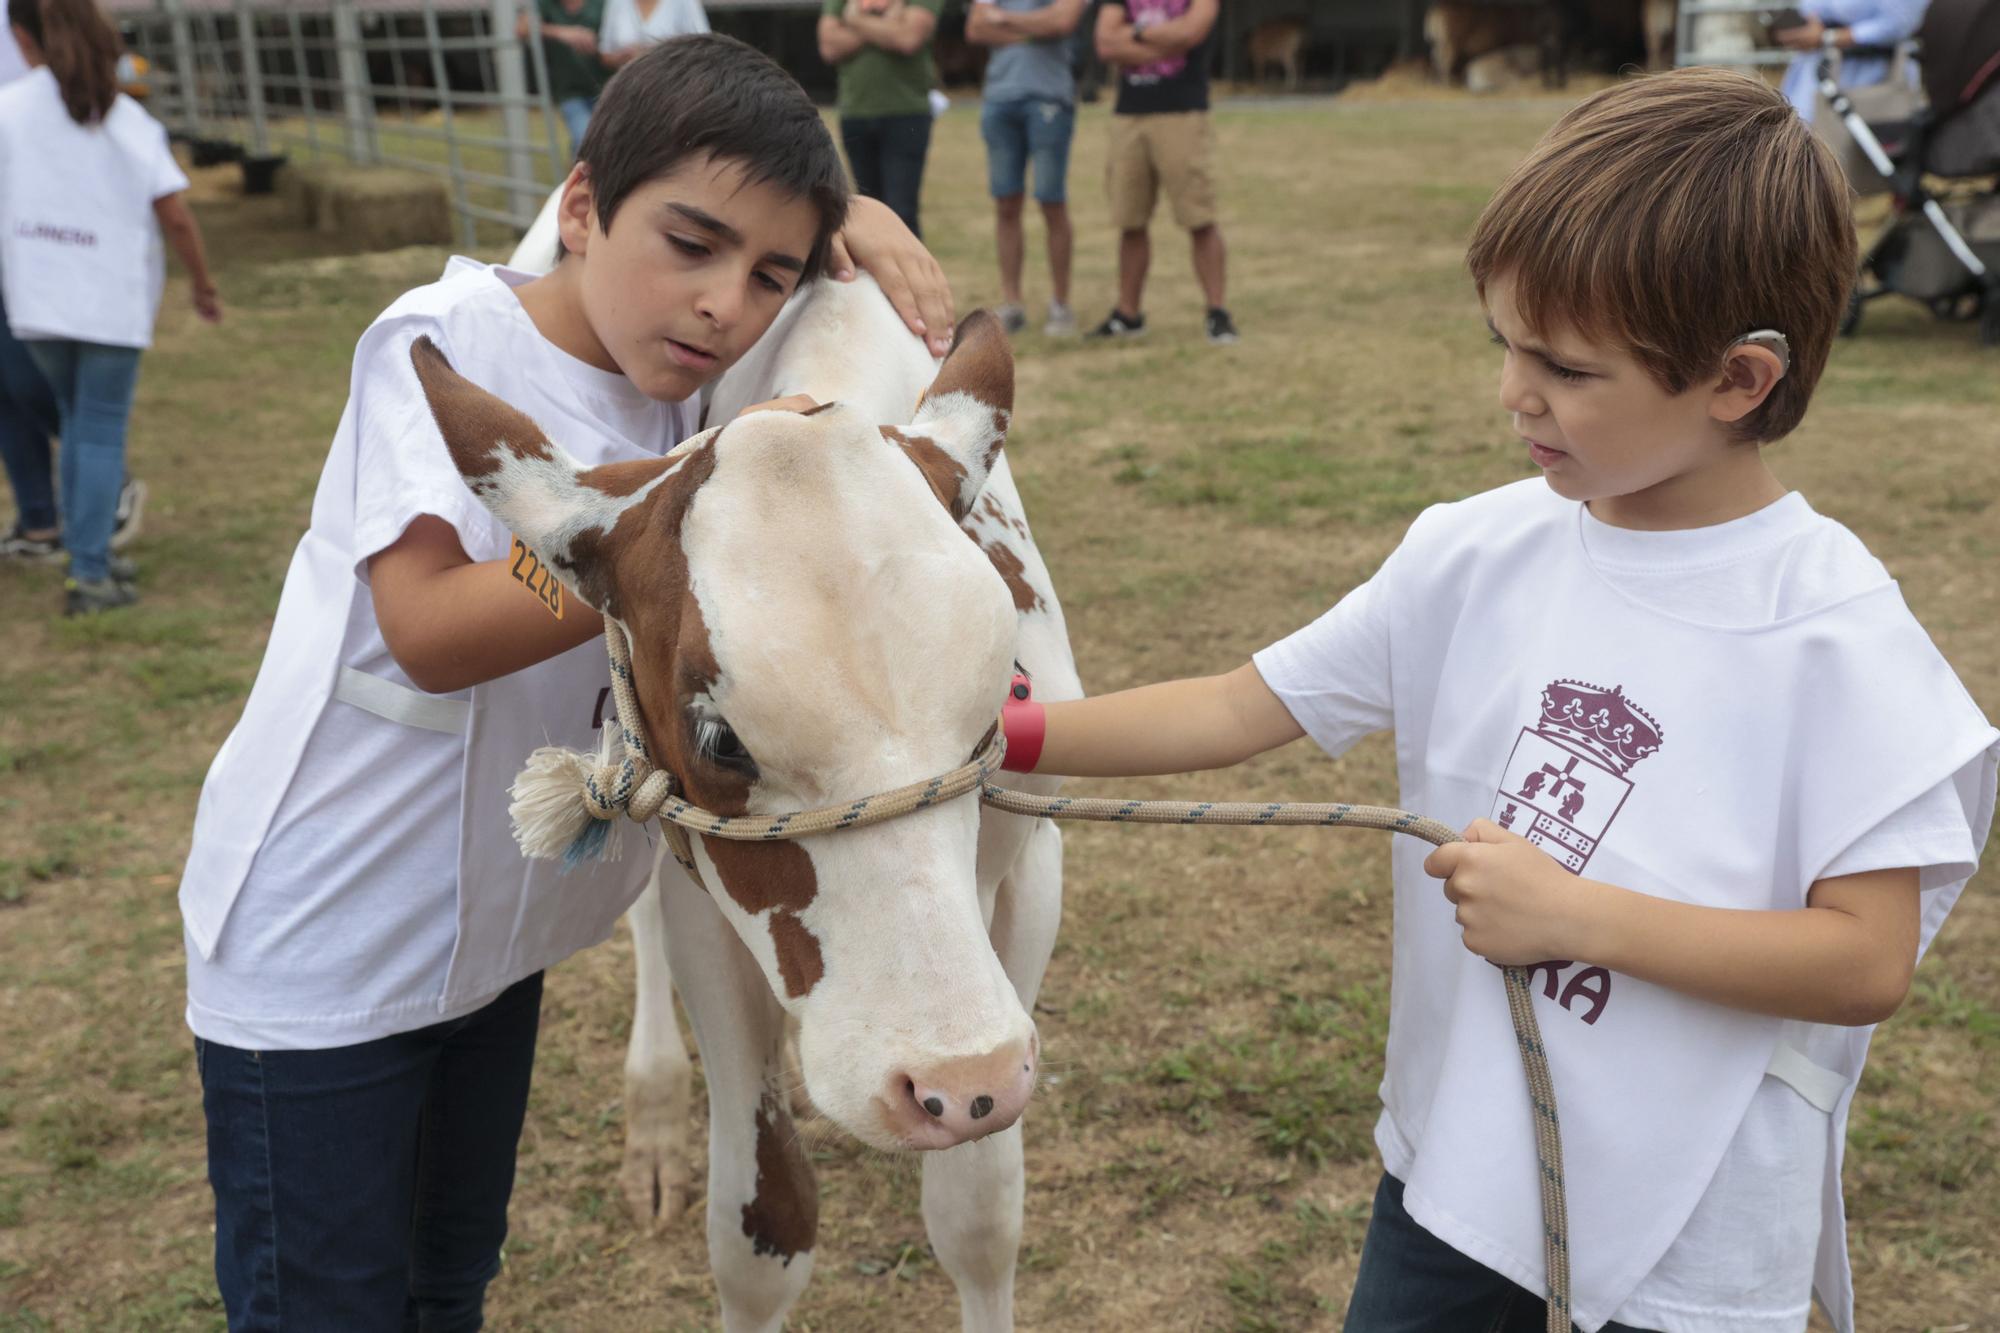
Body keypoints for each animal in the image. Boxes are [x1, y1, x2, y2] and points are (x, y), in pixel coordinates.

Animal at [428, 228, 1072, 1320]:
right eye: (722, 741)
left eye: (995, 700)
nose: (950, 1075)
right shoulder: (705, 892)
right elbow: (763, 1226)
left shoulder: (1032, 866)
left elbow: (980, 1214)